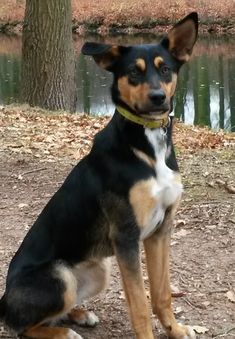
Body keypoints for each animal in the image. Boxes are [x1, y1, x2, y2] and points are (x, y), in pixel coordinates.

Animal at [0, 11, 198, 338]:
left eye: (165, 69)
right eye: (133, 72)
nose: (158, 97)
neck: (147, 146)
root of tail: (3, 300)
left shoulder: (161, 230)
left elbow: (162, 294)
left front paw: (176, 329)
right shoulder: (126, 236)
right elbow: (140, 305)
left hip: (98, 270)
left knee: (53, 315)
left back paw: (79, 314)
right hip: (61, 275)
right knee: (23, 326)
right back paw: (65, 332)